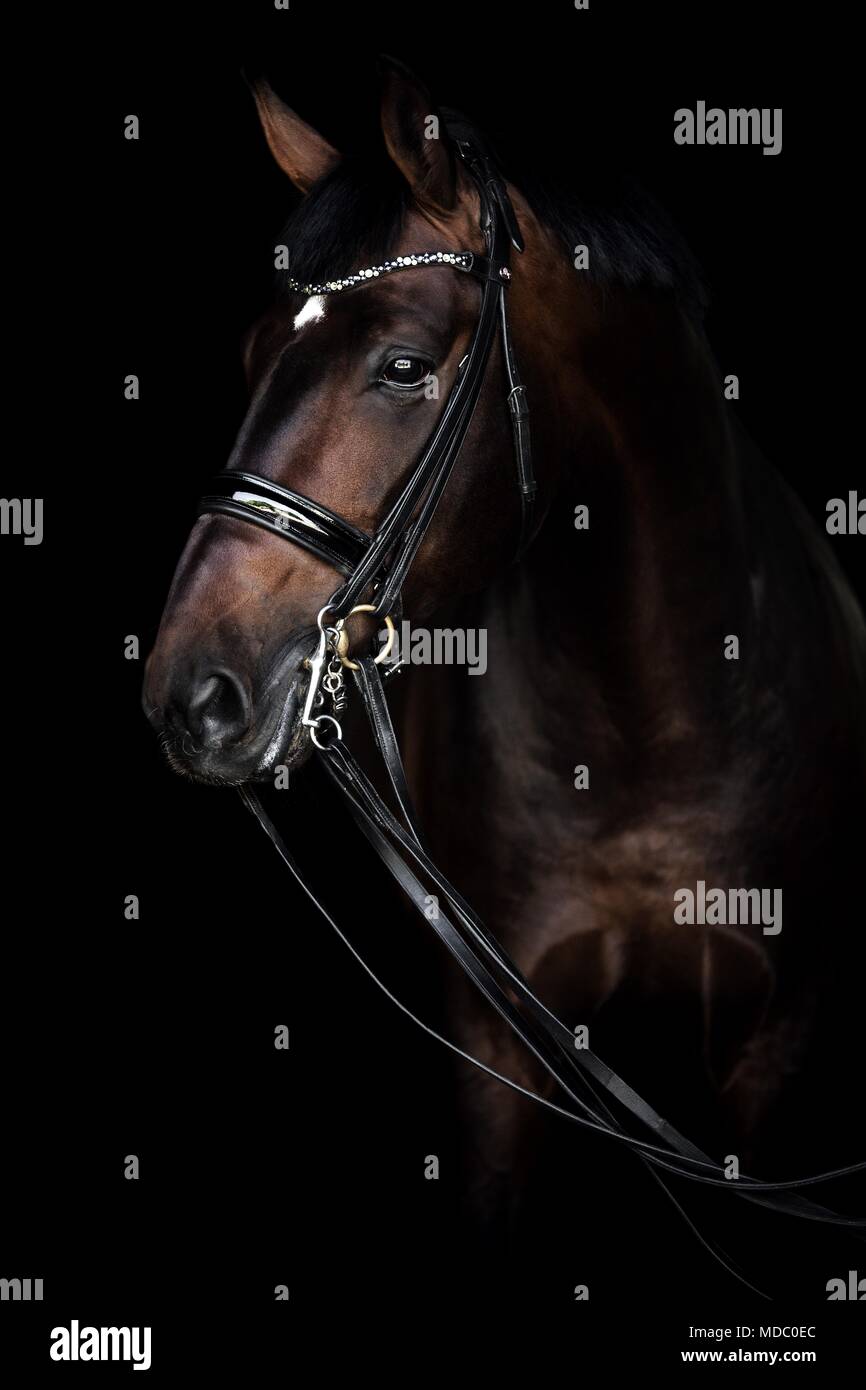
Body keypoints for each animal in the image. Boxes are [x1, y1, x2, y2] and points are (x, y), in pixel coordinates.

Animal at [142, 59, 866, 1284]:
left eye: (401, 366)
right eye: (250, 355)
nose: (190, 694)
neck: (649, 719)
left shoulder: (775, 1038)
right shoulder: (502, 1046)